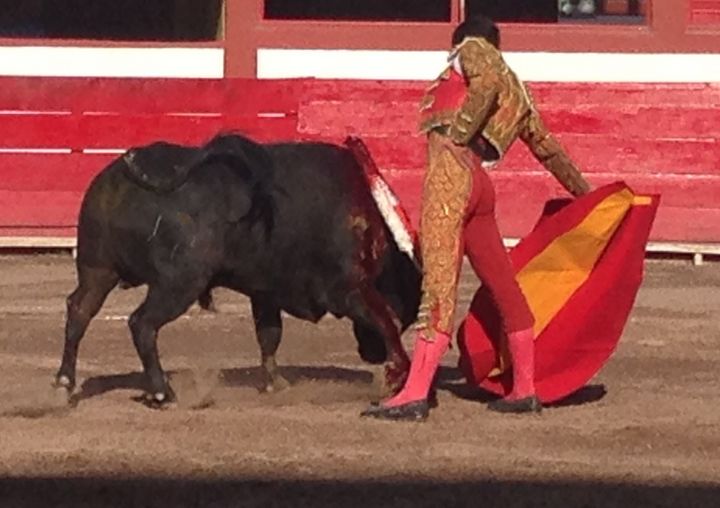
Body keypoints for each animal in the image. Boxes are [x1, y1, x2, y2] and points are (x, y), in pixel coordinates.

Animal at [54, 133, 422, 407]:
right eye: (411, 301)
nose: (370, 355)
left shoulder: (266, 291)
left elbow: (269, 334)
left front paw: (276, 383)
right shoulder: (350, 287)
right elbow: (385, 319)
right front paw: (398, 374)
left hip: (98, 269)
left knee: (79, 310)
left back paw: (63, 384)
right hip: (180, 283)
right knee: (142, 323)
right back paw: (162, 393)